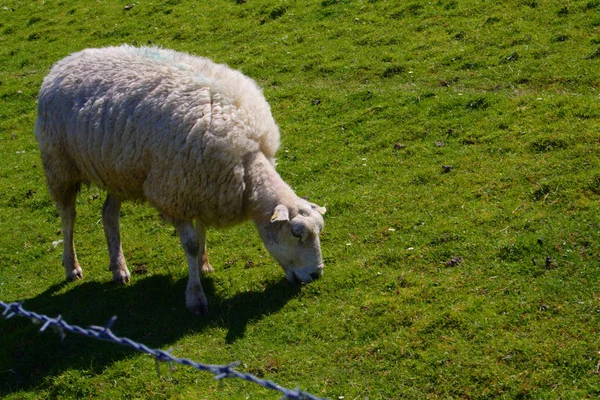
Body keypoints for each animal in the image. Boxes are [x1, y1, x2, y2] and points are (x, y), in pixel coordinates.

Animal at [35, 45, 326, 316]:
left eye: (319, 230)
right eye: (296, 233)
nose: (316, 275)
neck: (246, 162)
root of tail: (65, 61)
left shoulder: (203, 188)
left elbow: (202, 230)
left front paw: (203, 264)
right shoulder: (176, 192)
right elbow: (191, 245)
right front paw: (195, 297)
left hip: (118, 170)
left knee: (109, 214)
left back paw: (119, 268)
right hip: (59, 164)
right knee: (68, 216)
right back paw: (72, 266)